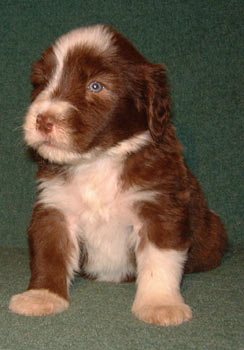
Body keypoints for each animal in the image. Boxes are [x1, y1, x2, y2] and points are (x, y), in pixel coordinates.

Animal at [8, 23, 228, 326]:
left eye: (96, 86)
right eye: (41, 82)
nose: (43, 120)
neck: (98, 161)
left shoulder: (159, 207)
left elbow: (159, 260)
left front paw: (160, 305)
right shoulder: (55, 208)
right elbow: (49, 253)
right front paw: (42, 296)